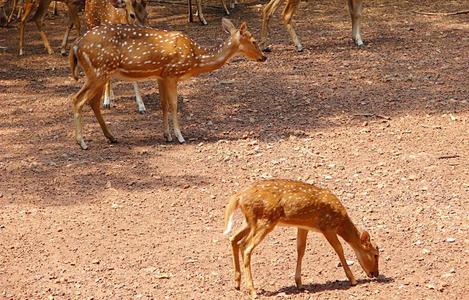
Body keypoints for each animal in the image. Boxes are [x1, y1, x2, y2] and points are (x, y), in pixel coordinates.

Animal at [69, 18, 266, 150]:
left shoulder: (161, 76)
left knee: (92, 102)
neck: (195, 58)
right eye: (254, 41)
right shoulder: (172, 74)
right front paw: (179, 136)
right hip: (99, 71)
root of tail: (76, 45)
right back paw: (82, 142)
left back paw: (111, 137)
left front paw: (167, 135)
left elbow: (163, 105)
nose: (264, 57)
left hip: (99, 73)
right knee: (77, 99)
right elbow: (174, 104)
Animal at [223, 179, 380, 298]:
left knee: (234, 239)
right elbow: (339, 248)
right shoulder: (327, 227)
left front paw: (299, 282)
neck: (340, 222)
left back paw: (237, 284)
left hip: (250, 221)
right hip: (265, 220)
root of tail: (238, 197)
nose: (376, 274)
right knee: (246, 247)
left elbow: (301, 249)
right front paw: (352, 279)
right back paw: (252, 291)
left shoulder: (303, 226)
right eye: (375, 254)